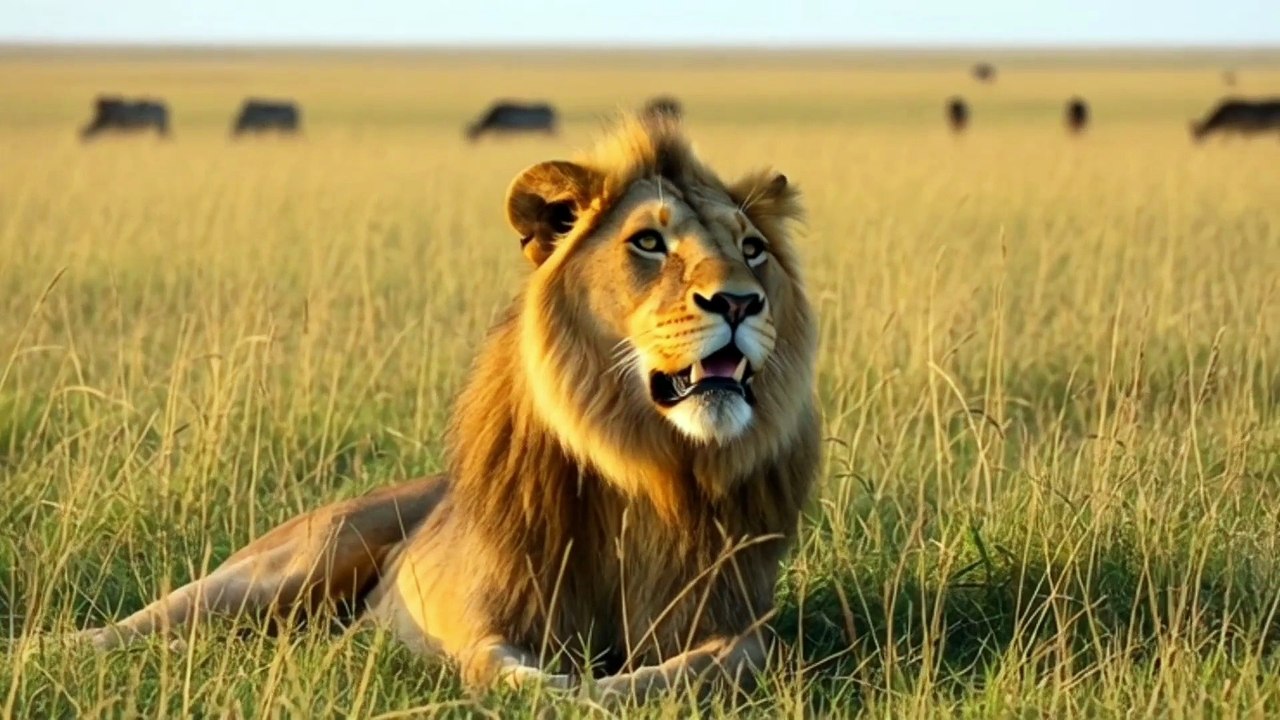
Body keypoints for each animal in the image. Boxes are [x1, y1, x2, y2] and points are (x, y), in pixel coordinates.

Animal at [53, 113, 821, 703]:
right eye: (649, 242)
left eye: (753, 249)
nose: (739, 302)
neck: (647, 469)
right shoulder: (473, 616)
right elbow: (502, 670)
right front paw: (566, 691)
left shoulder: (736, 618)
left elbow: (725, 659)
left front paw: (608, 688)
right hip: (285, 566)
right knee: (153, 620)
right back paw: (63, 646)